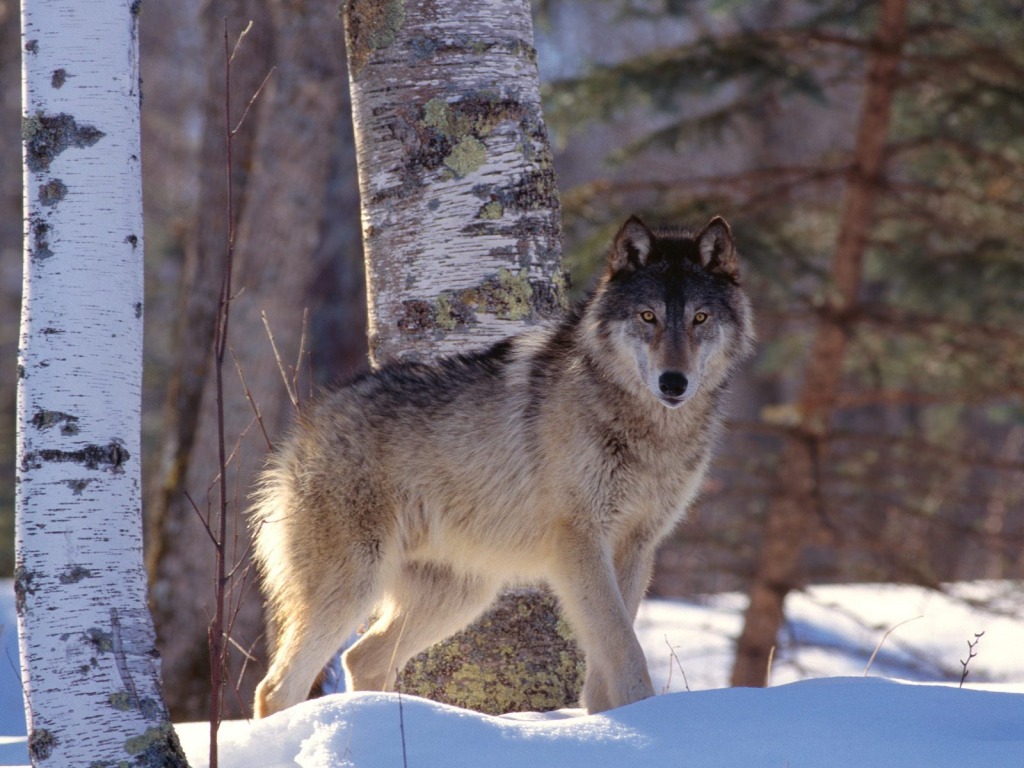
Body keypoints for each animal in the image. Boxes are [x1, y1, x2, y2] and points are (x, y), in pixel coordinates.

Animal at [251, 215, 754, 717]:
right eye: (648, 317)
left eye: (700, 318)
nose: (673, 383)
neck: (649, 432)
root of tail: (304, 425)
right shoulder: (579, 542)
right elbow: (624, 648)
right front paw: (641, 718)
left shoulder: (636, 547)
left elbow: (609, 656)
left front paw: (608, 722)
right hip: (355, 585)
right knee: (276, 687)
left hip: (461, 597)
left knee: (360, 658)